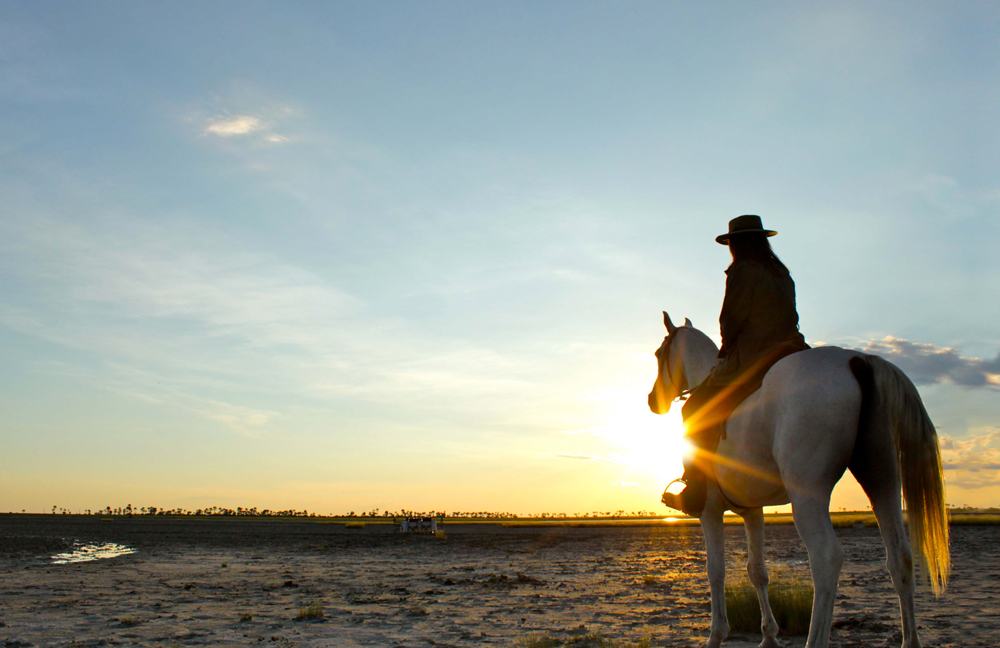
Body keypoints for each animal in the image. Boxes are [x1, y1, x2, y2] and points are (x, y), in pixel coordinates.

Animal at [648, 312, 944, 644]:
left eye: (659, 354)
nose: (652, 401)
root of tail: (855, 359)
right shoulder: (752, 511)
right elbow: (757, 570)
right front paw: (769, 636)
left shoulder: (709, 510)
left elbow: (716, 570)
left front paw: (716, 636)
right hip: (883, 481)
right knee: (900, 558)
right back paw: (909, 640)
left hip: (808, 497)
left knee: (826, 559)